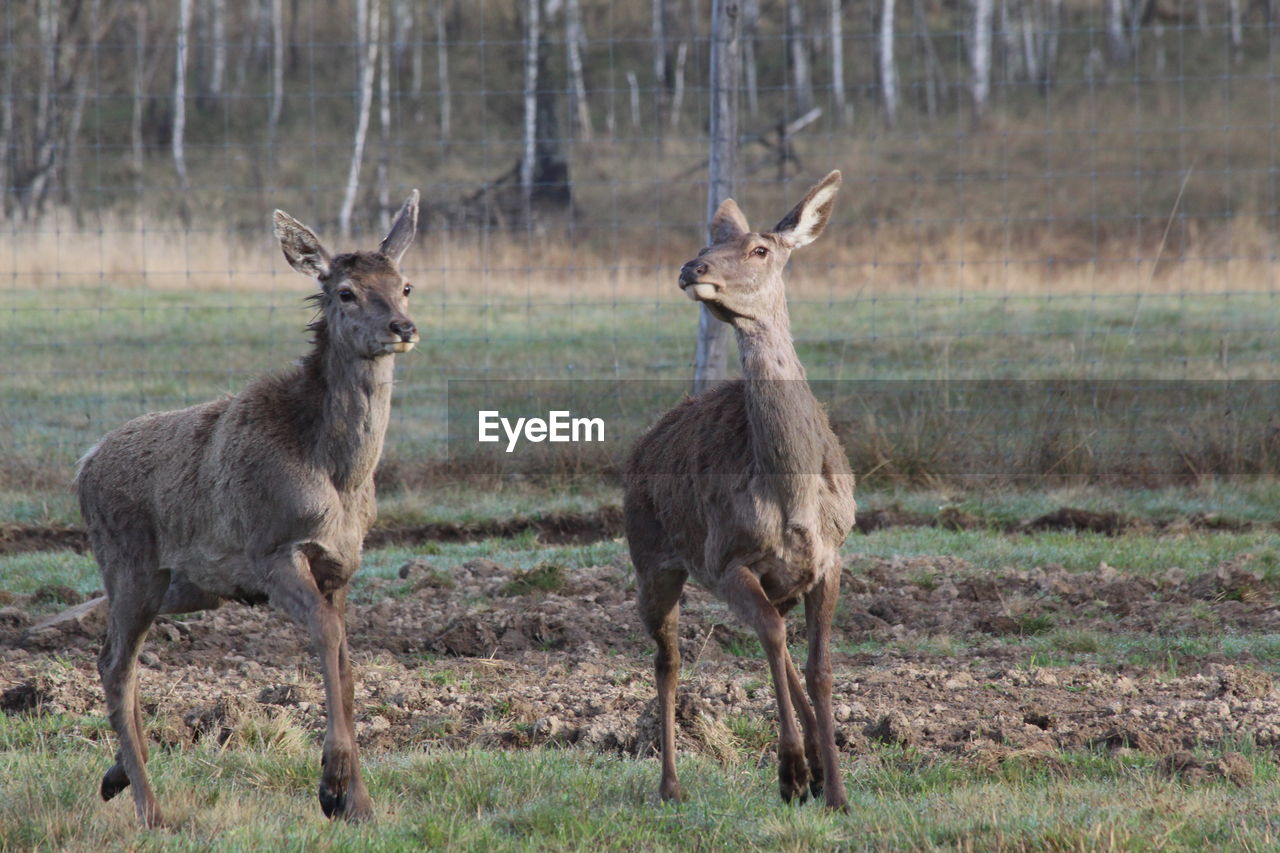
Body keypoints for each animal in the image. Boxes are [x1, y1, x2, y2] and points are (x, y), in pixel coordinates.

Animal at [74, 190, 422, 824]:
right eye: (345, 292)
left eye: (404, 284)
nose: (401, 327)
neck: (339, 476)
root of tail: (84, 465)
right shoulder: (271, 550)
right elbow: (327, 637)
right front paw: (332, 784)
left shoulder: (342, 565)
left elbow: (347, 661)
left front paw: (357, 801)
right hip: (129, 562)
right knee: (116, 664)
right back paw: (151, 808)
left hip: (182, 585)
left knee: (111, 651)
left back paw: (117, 774)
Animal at [622, 169, 855, 809]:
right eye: (707, 244)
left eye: (759, 250)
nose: (691, 267)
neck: (791, 493)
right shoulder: (726, 559)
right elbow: (772, 639)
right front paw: (790, 771)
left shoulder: (829, 560)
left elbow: (819, 666)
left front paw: (835, 789)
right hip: (652, 558)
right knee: (668, 659)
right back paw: (670, 784)